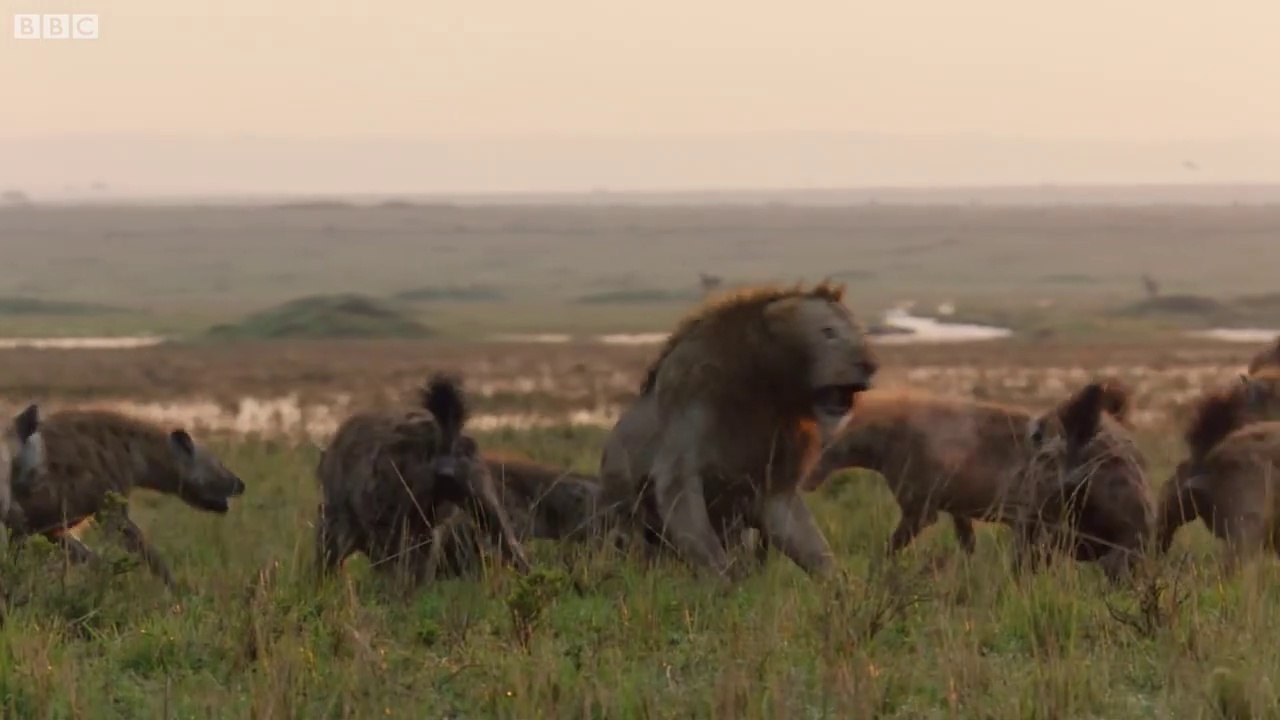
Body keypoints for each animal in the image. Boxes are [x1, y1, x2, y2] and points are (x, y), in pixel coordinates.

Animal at [598, 281, 878, 579]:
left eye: (860, 333)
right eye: (828, 332)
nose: (870, 365)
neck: (765, 389)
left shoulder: (775, 487)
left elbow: (816, 550)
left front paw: (848, 587)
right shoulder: (678, 469)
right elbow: (705, 546)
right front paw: (726, 584)